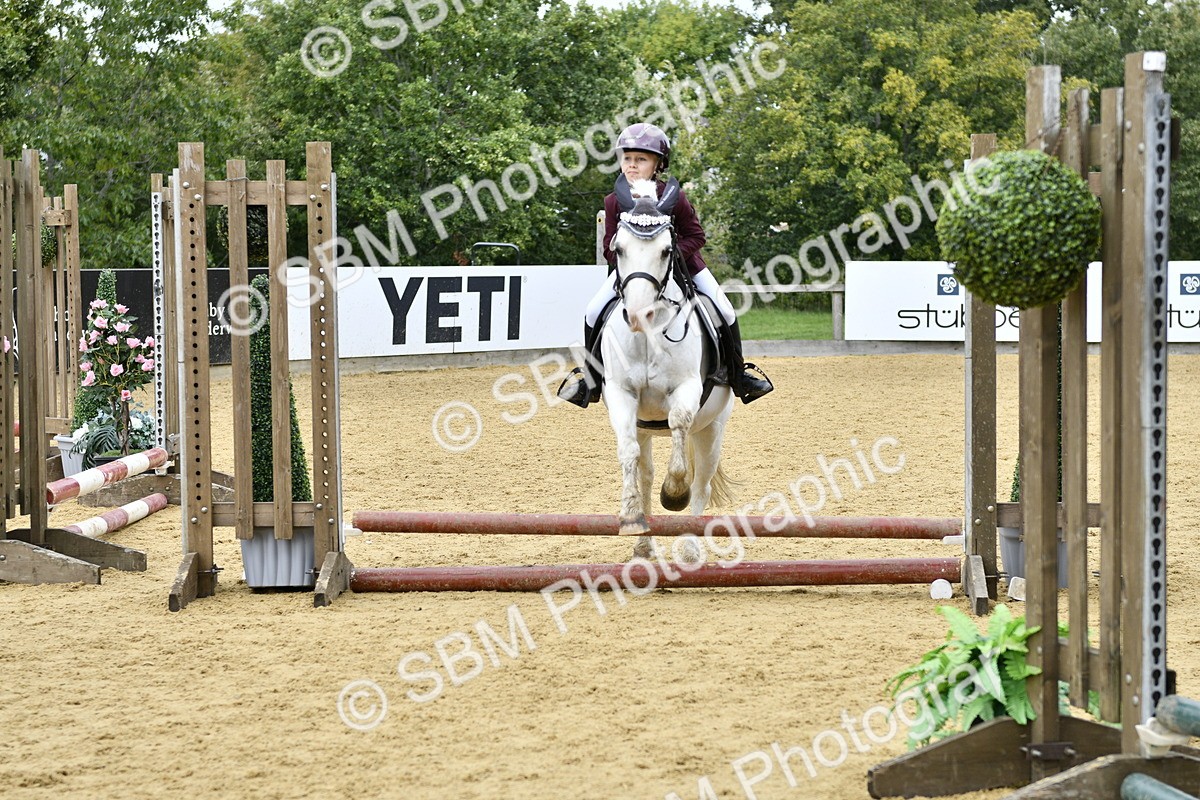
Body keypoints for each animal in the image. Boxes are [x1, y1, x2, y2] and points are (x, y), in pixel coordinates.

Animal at [601, 178, 735, 564]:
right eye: (618, 248)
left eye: (666, 251)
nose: (638, 316)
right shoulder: (621, 395)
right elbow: (627, 453)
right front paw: (631, 518)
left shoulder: (686, 389)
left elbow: (678, 426)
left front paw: (674, 494)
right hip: (646, 428)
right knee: (645, 471)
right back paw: (644, 544)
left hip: (713, 429)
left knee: (701, 481)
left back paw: (689, 548)